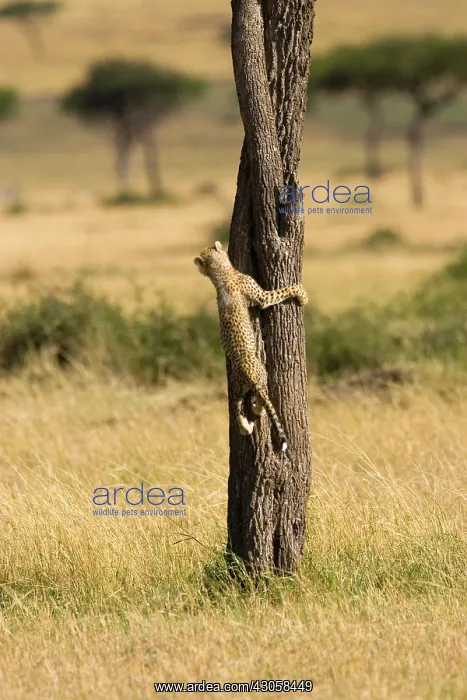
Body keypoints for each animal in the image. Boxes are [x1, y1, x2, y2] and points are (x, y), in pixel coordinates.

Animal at [194, 241, 308, 452]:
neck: (222, 275)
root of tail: (247, 370)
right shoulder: (262, 298)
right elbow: (282, 291)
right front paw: (301, 294)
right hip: (262, 376)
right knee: (261, 399)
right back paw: (257, 410)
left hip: (237, 386)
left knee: (237, 406)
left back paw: (245, 427)